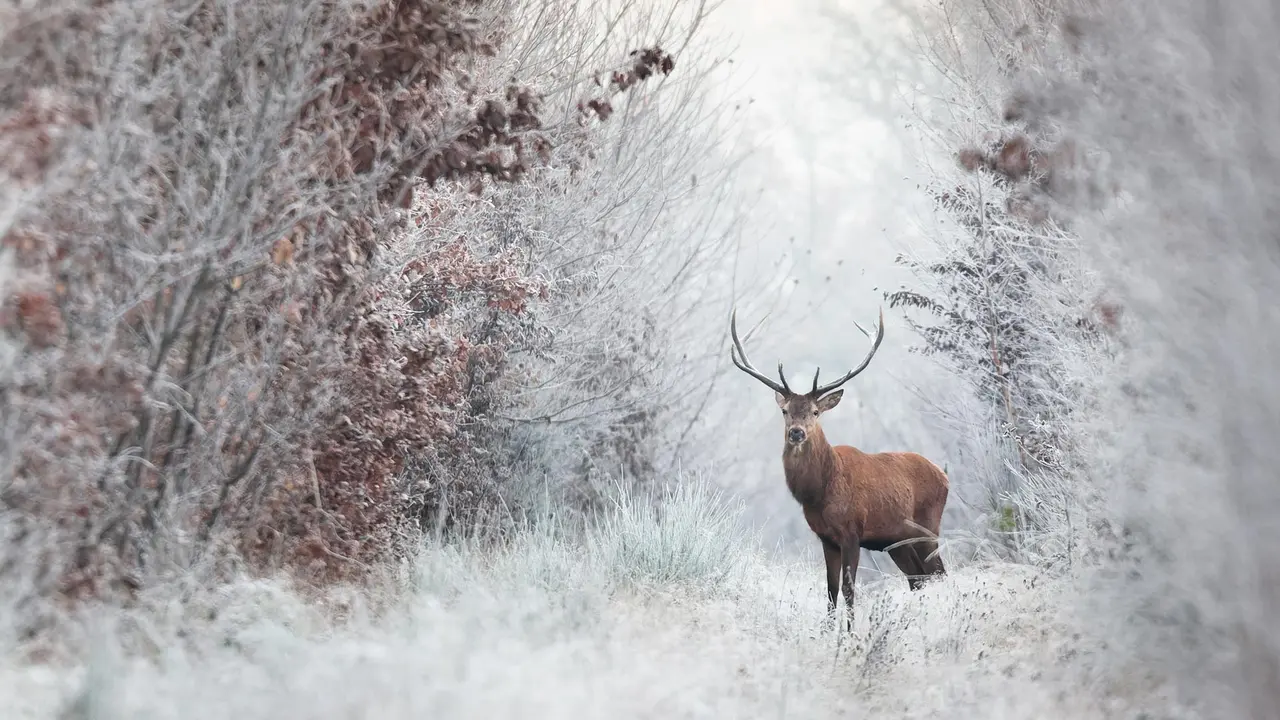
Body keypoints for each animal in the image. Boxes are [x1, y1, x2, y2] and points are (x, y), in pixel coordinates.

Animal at [728, 307, 949, 629]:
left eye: (815, 412)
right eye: (785, 411)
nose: (797, 432)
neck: (820, 492)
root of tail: (945, 475)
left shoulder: (852, 532)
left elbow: (848, 588)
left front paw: (849, 634)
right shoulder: (826, 538)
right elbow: (831, 589)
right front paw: (828, 632)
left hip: (928, 527)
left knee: (939, 574)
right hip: (898, 541)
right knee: (918, 579)